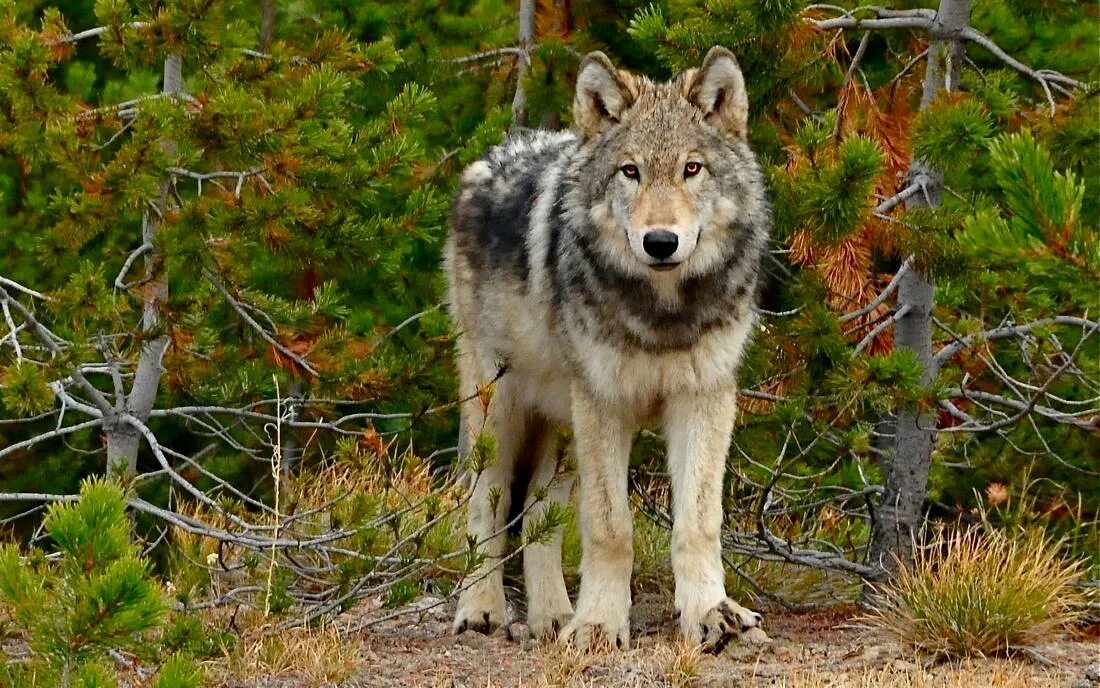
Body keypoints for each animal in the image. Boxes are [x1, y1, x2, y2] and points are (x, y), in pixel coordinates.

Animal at [442, 45, 770, 651]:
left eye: (692, 169)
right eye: (630, 171)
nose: (660, 242)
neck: (662, 315)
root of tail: (487, 161)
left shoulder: (705, 398)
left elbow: (698, 522)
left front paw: (711, 613)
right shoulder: (604, 403)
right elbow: (610, 527)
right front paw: (598, 624)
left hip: (563, 429)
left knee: (538, 515)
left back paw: (552, 616)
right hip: (501, 412)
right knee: (485, 504)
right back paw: (482, 610)